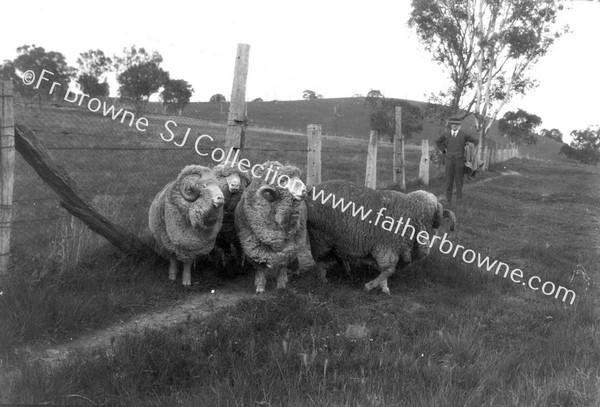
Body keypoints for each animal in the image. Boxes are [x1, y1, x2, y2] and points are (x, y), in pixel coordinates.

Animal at [236, 161, 316, 294]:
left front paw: (281, 285)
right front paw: (260, 287)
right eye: (283, 180)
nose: (304, 191)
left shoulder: (289, 245)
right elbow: (261, 268)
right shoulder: (255, 247)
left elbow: (283, 264)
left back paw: (294, 270)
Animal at [308, 181, 458, 294]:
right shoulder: (387, 246)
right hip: (319, 236)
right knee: (318, 259)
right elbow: (389, 269)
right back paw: (322, 278)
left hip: (336, 239)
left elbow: (386, 269)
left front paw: (382, 287)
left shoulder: (390, 247)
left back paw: (346, 271)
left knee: (338, 256)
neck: (411, 213)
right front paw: (371, 286)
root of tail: (313, 188)